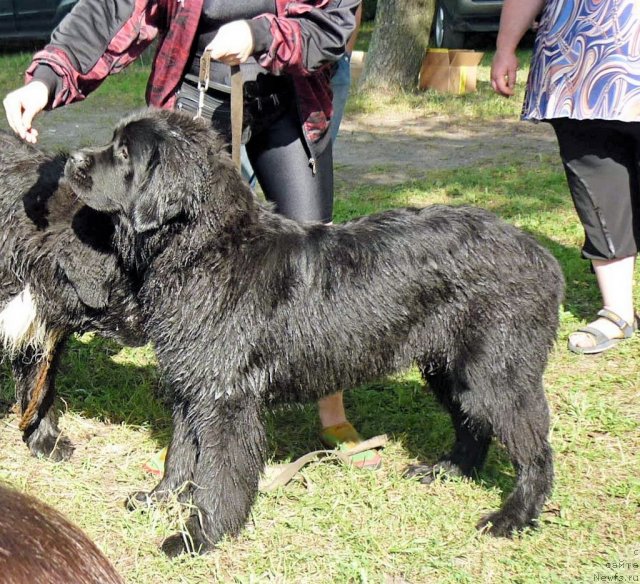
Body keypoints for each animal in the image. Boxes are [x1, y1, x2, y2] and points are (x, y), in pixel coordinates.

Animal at [66, 109, 564, 556]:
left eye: (123, 152)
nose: (72, 159)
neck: (206, 249)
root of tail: (539, 252)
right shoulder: (193, 385)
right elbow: (182, 454)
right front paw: (160, 499)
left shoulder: (226, 399)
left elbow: (219, 472)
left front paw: (201, 536)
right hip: (448, 368)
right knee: (472, 424)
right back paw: (448, 470)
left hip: (498, 374)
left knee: (534, 449)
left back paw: (513, 516)